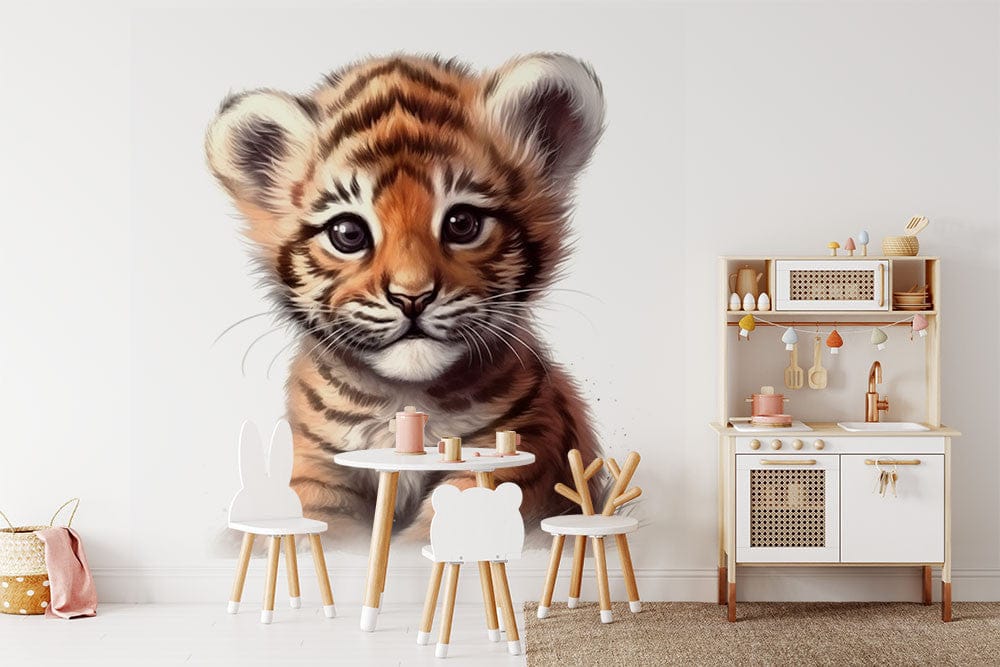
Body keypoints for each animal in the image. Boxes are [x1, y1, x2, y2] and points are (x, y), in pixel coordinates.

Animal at [206, 53, 606, 542]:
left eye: (462, 223)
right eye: (348, 233)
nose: (411, 297)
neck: (406, 402)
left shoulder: (526, 443)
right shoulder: (317, 465)